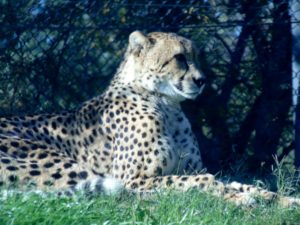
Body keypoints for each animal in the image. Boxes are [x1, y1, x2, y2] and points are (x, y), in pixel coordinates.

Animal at [0, 30, 298, 207]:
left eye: (196, 57)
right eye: (179, 58)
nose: (202, 80)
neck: (167, 105)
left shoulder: (190, 168)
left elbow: (235, 181)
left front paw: (279, 198)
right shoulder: (135, 177)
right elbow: (197, 181)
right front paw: (237, 196)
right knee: (125, 195)